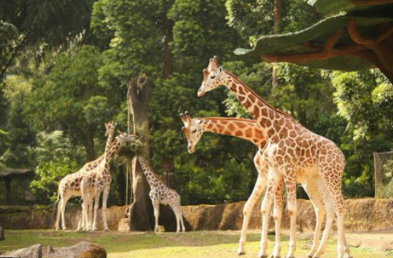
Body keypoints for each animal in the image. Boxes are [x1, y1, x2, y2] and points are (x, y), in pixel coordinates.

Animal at [179, 112, 332, 256]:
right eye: (183, 130)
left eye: (193, 130)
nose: (190, 148)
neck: (259, 138)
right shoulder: (263, 175)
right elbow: (249, 206)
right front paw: (242, 249)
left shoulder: (276, 176)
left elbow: (274, 211)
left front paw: (272, 251)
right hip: (309, 182)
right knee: (321, 208)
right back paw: (313, 251)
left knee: (330, 206)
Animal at [196, 57, 350, 258]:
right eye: (205, 74)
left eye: (212, 76)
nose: (200, 91)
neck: (272, 128)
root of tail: (341, 156)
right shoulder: (275, 171)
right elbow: (271, 210)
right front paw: (272, 251)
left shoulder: (287, 169)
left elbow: (290, 209)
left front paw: (287, 251)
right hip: (318, 178)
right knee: (327, 207)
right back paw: (318, 251)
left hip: (331, 175)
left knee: (339, 206)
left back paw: (340, 252)